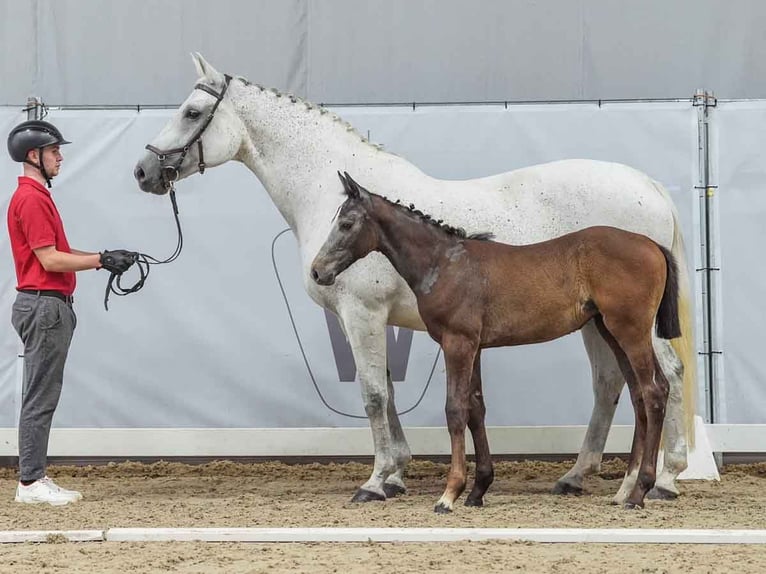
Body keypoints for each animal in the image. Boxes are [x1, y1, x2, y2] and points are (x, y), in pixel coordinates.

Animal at [314, 172, 684, 512]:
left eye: (346, 223)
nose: (317, 271)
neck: (445, 264)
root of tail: (652, 245)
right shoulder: (474, 346)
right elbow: (476, 408)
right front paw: (477, 490)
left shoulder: (457, 343)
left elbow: (455, 409)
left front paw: (449, 494)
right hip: (612, 332)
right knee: (639, 395)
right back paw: (625, 490)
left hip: (631, 331)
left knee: (654, 391)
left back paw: (640, 491)